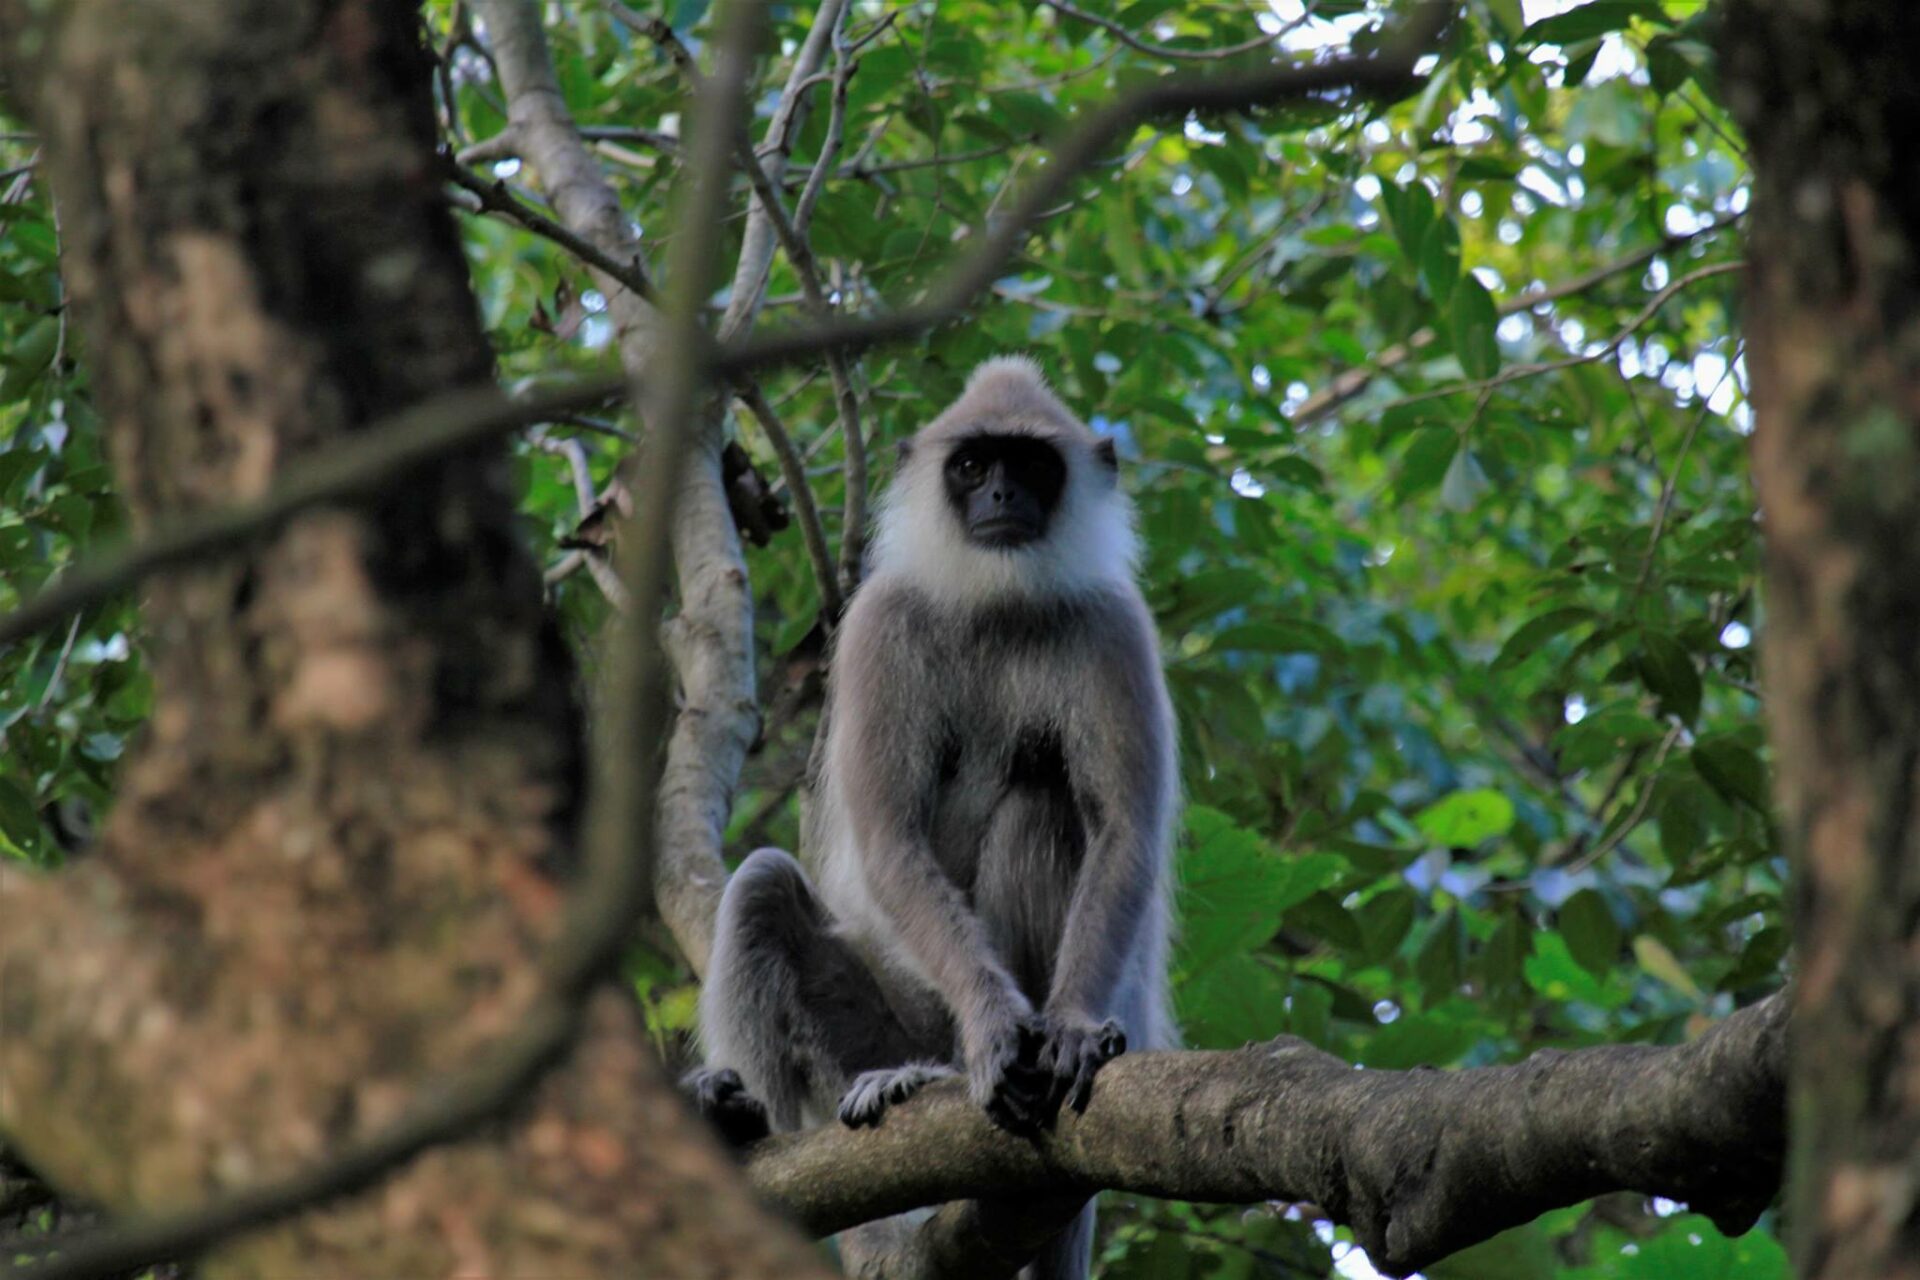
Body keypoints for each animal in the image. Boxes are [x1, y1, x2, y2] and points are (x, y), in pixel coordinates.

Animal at [683, 353, 1175, 1280]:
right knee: (762, 886)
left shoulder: (1114, 626)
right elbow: (888, 839)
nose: (1002, 497)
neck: (999, 604)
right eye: (974, 466)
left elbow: (1124, 832)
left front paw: (1069, 1028)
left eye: (1031, 466)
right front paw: (994, 1029)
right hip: (892, 1021)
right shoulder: (880, 621)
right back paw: (764, 1114)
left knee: (1043, 804)